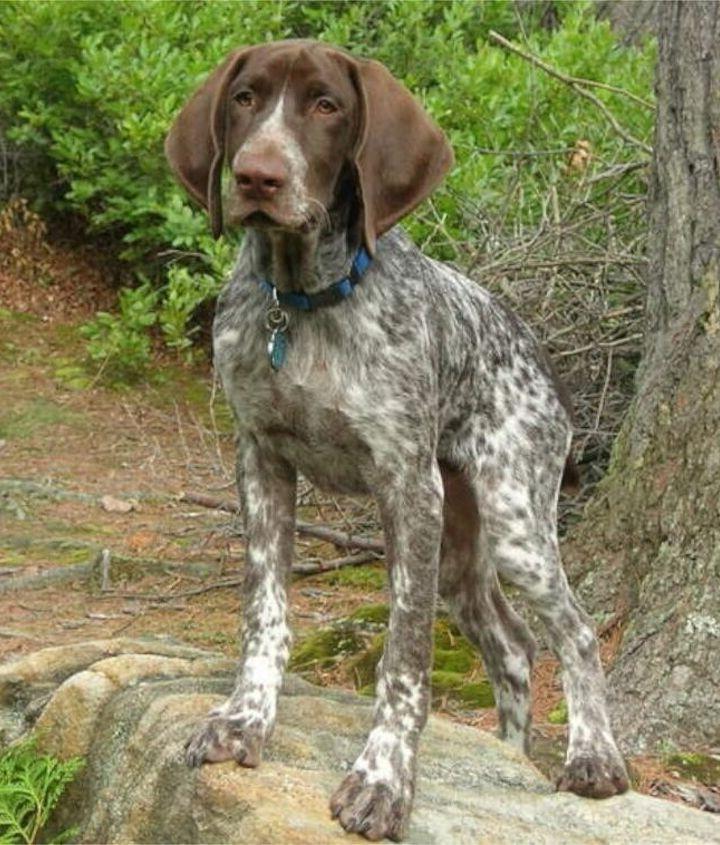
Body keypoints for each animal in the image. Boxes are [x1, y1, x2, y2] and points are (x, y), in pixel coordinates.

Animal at [166, 38, 628, 836]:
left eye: (327, 106)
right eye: (246, 98)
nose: (258, 175)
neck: (305, 303)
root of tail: (541, 355)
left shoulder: (407, 489)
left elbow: (404, 656)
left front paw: (382, 778)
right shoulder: (260, 460)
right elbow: (264, 612)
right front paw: (245, 719)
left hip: (513, 522)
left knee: (573, 630)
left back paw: (592, 758)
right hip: (462, 551)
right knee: (512, 649)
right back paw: (509, 756)